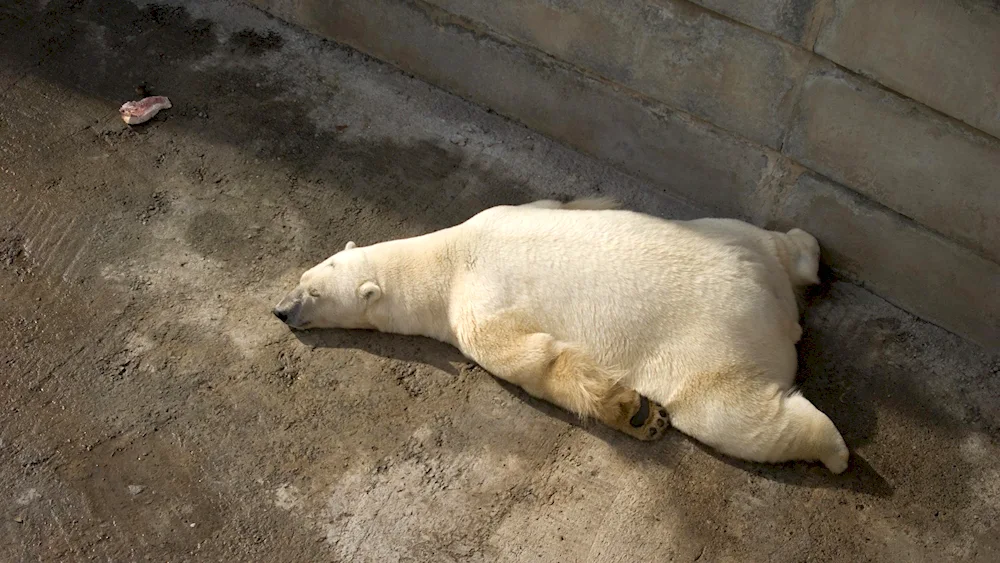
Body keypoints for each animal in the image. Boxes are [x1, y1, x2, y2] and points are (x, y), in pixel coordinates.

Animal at [276, 196, 852, 474]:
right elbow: (555, 205)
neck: (447, 257)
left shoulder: (473, 307)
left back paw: (834, 451)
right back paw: (808, 253)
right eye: (304, 277)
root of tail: (769, 300)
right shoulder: (507, 212)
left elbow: (532, 357)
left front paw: (632, 410)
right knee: (783, 240)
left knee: (733, 415)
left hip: (710, 344)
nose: (281, 310)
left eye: (315, 294)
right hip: (733, 234)